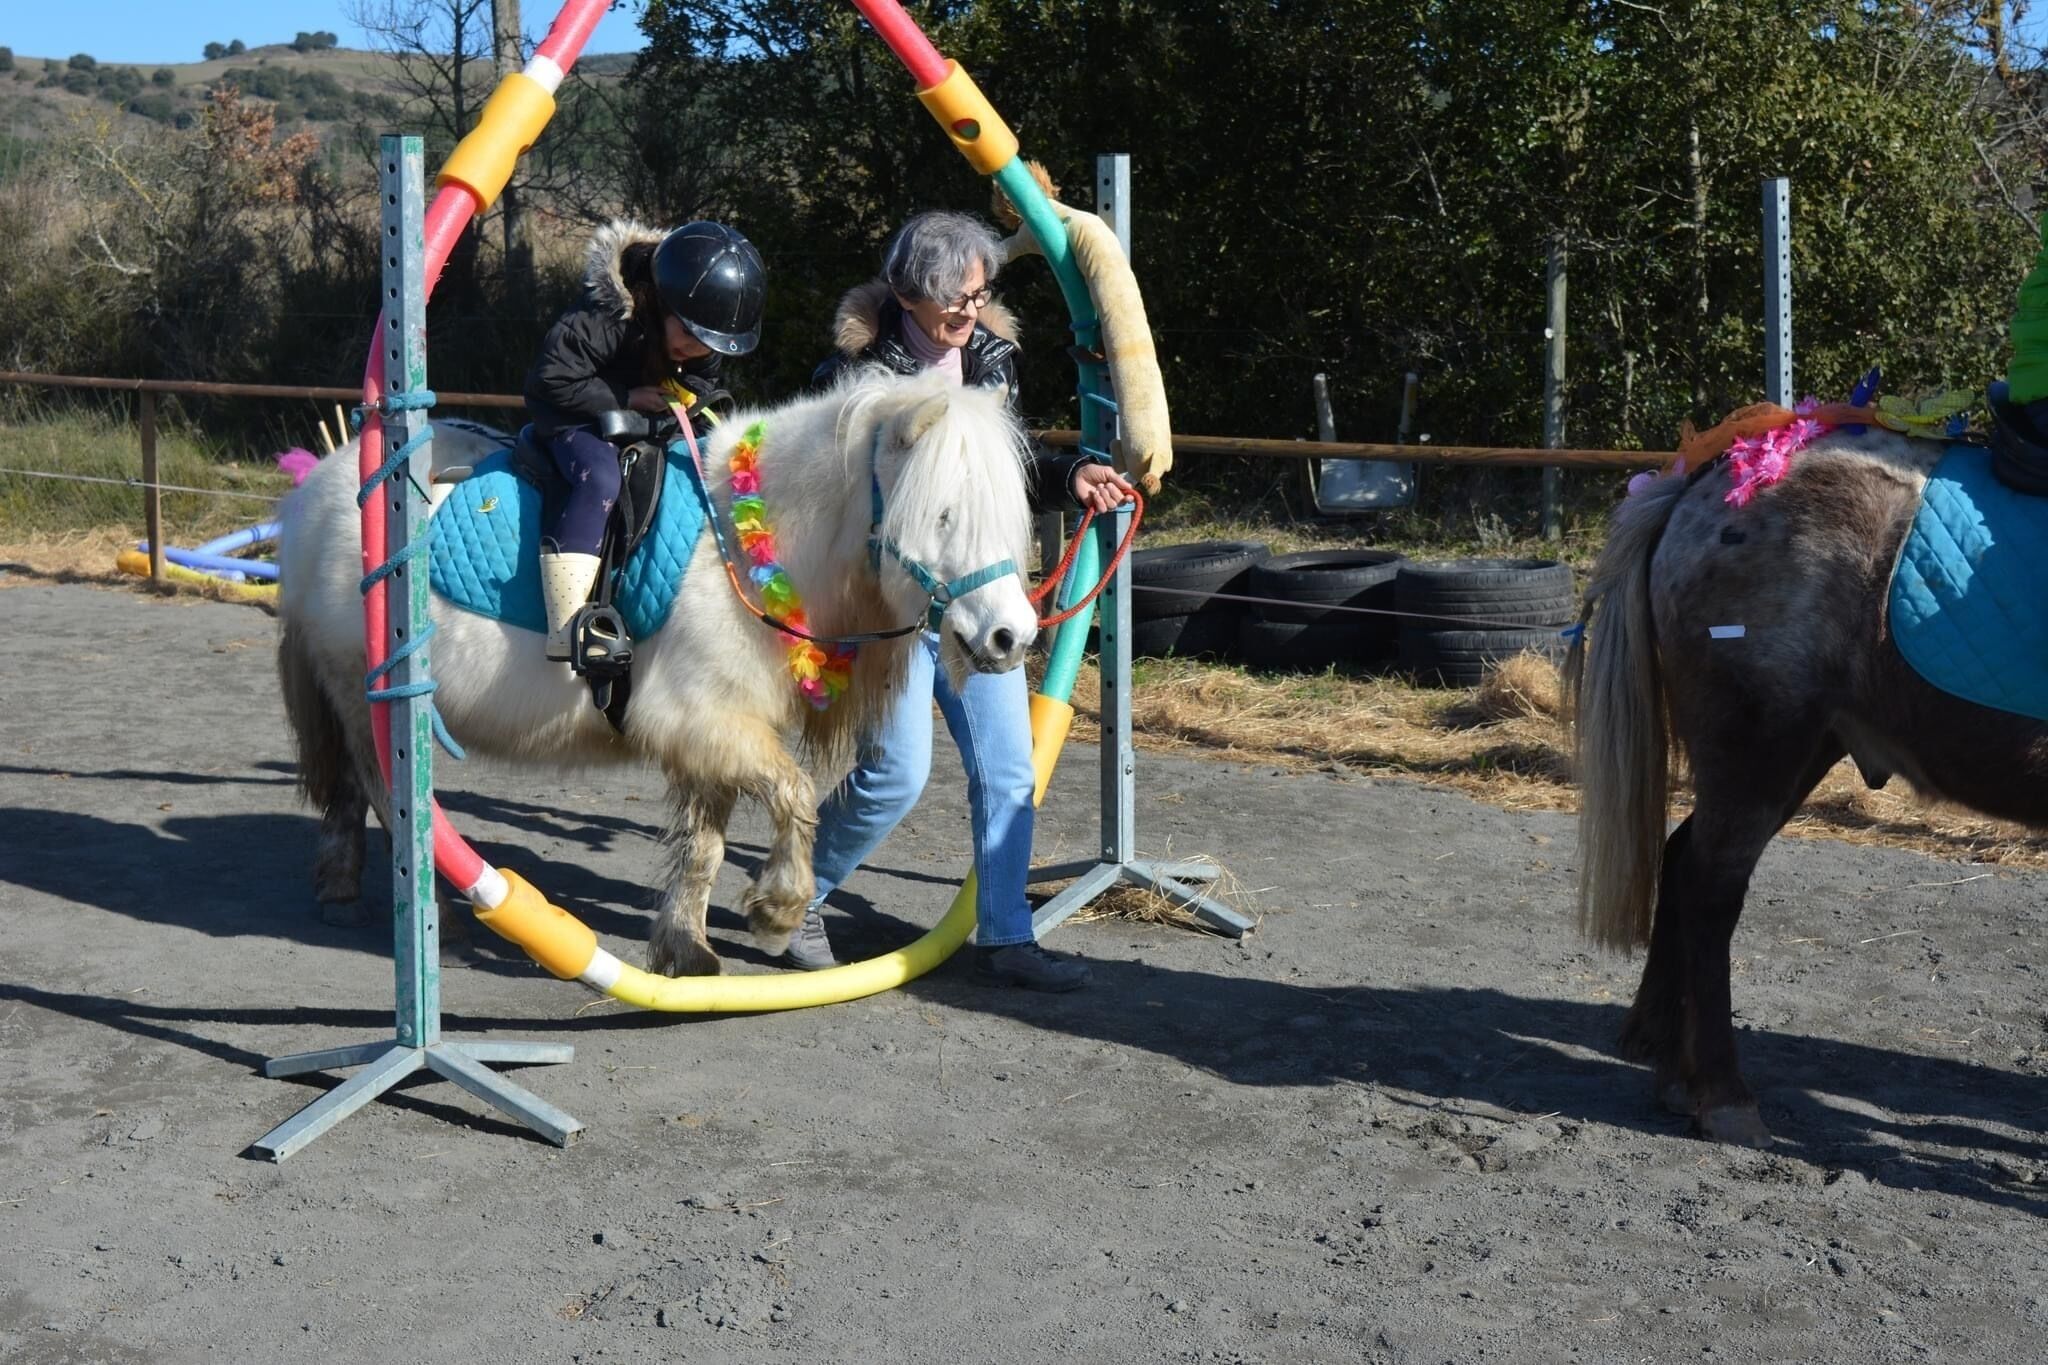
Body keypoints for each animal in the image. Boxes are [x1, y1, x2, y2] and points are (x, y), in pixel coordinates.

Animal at [275, 371, 1037, 977]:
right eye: (943, 514)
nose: (1013, 637)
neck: (743, 549)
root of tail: (319, 489)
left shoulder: (713, 735)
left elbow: (706, 844)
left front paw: (686, 948)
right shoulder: (701, 719)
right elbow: (796, 794)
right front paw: (777, 909)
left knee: (353, 789)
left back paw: (340, 887)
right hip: (367, 695)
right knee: (383, 793)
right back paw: (434, 915)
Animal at [1568, 427, 2048, 1145]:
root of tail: (1708, 479)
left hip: (1797, 754)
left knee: (1682, 861)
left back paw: (1677, 1074)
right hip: (1759, 749)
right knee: (1710, 890)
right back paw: (1724, 1095)